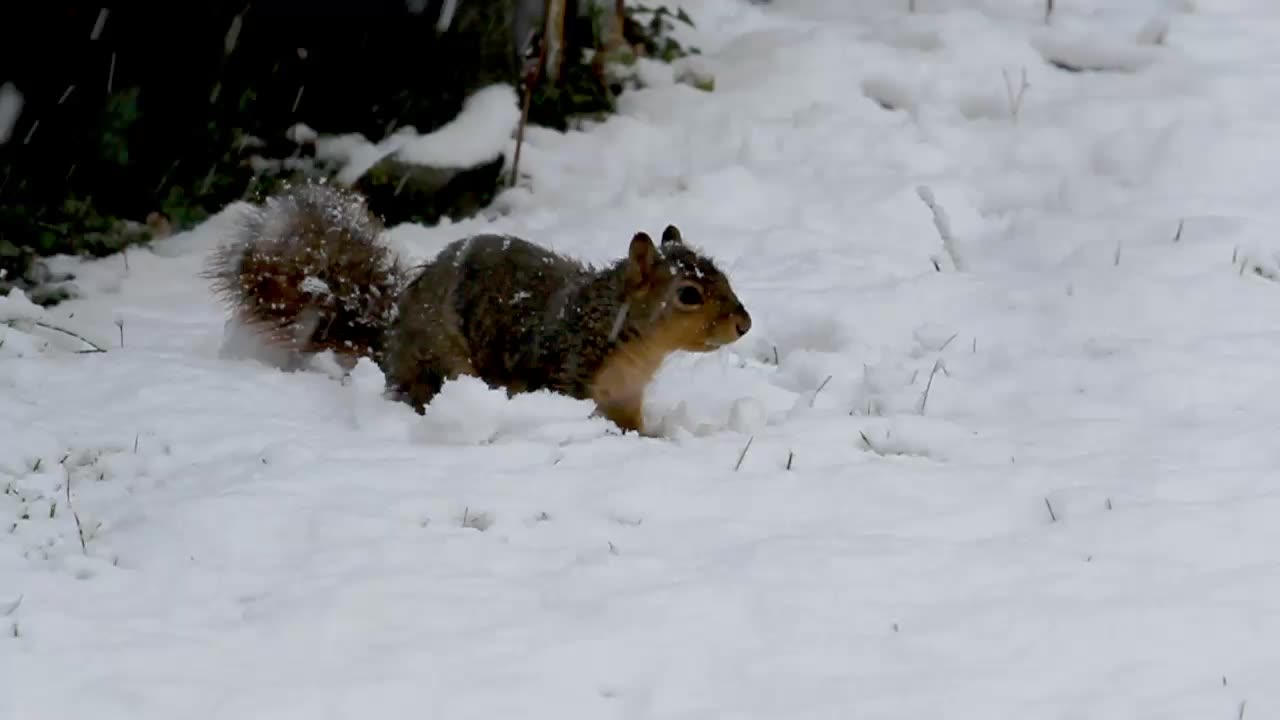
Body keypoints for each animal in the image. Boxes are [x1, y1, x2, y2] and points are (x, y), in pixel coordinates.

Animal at [202, 181, 747, 435]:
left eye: (721, 274)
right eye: (689, 294)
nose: (744, 324)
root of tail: (391, 337)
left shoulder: (625, 400)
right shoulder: (563, 376)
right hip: (442, 363)